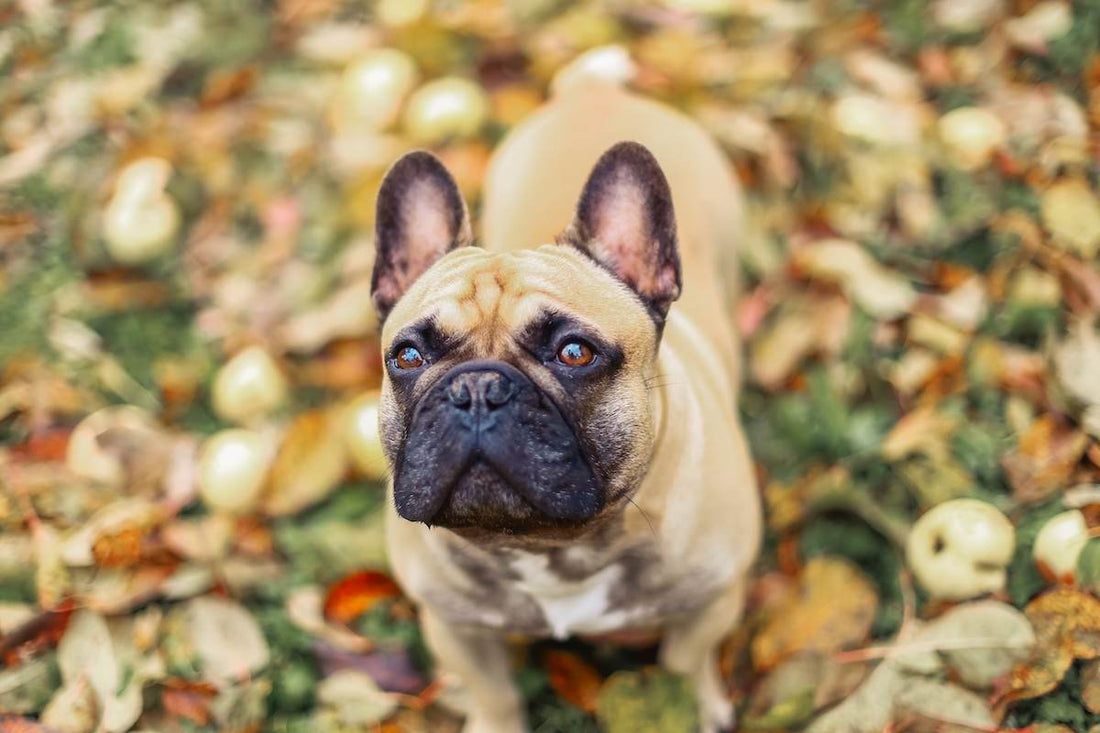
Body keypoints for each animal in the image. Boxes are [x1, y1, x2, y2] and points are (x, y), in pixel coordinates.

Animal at [374, 58, 761, 730]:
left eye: (575, 353)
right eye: (408, 357)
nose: (478, 388)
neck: (546, 546)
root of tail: (592, 89)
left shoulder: (711, 600)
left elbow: (685, 665)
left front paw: (699, 706)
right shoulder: (453, 626)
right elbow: (494, 690)